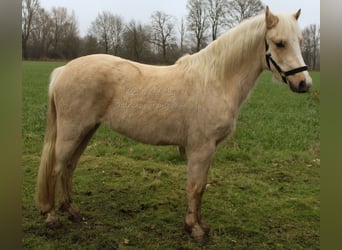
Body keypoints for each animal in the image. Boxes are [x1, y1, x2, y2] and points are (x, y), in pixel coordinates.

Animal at [36, 6, 312, 243]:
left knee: (69, 167)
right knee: (56, 168)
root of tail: (63, 70)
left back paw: (73, 212)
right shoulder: (201, 148)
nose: (303, 83)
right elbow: (195, 187)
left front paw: (200, 225)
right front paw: (195, 230)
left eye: (299, 41)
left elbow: (201, 188)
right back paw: (52, 217)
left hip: (86, 131)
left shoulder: (209, 149)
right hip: (72, 131)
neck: (216, 80)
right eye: (279, 43)